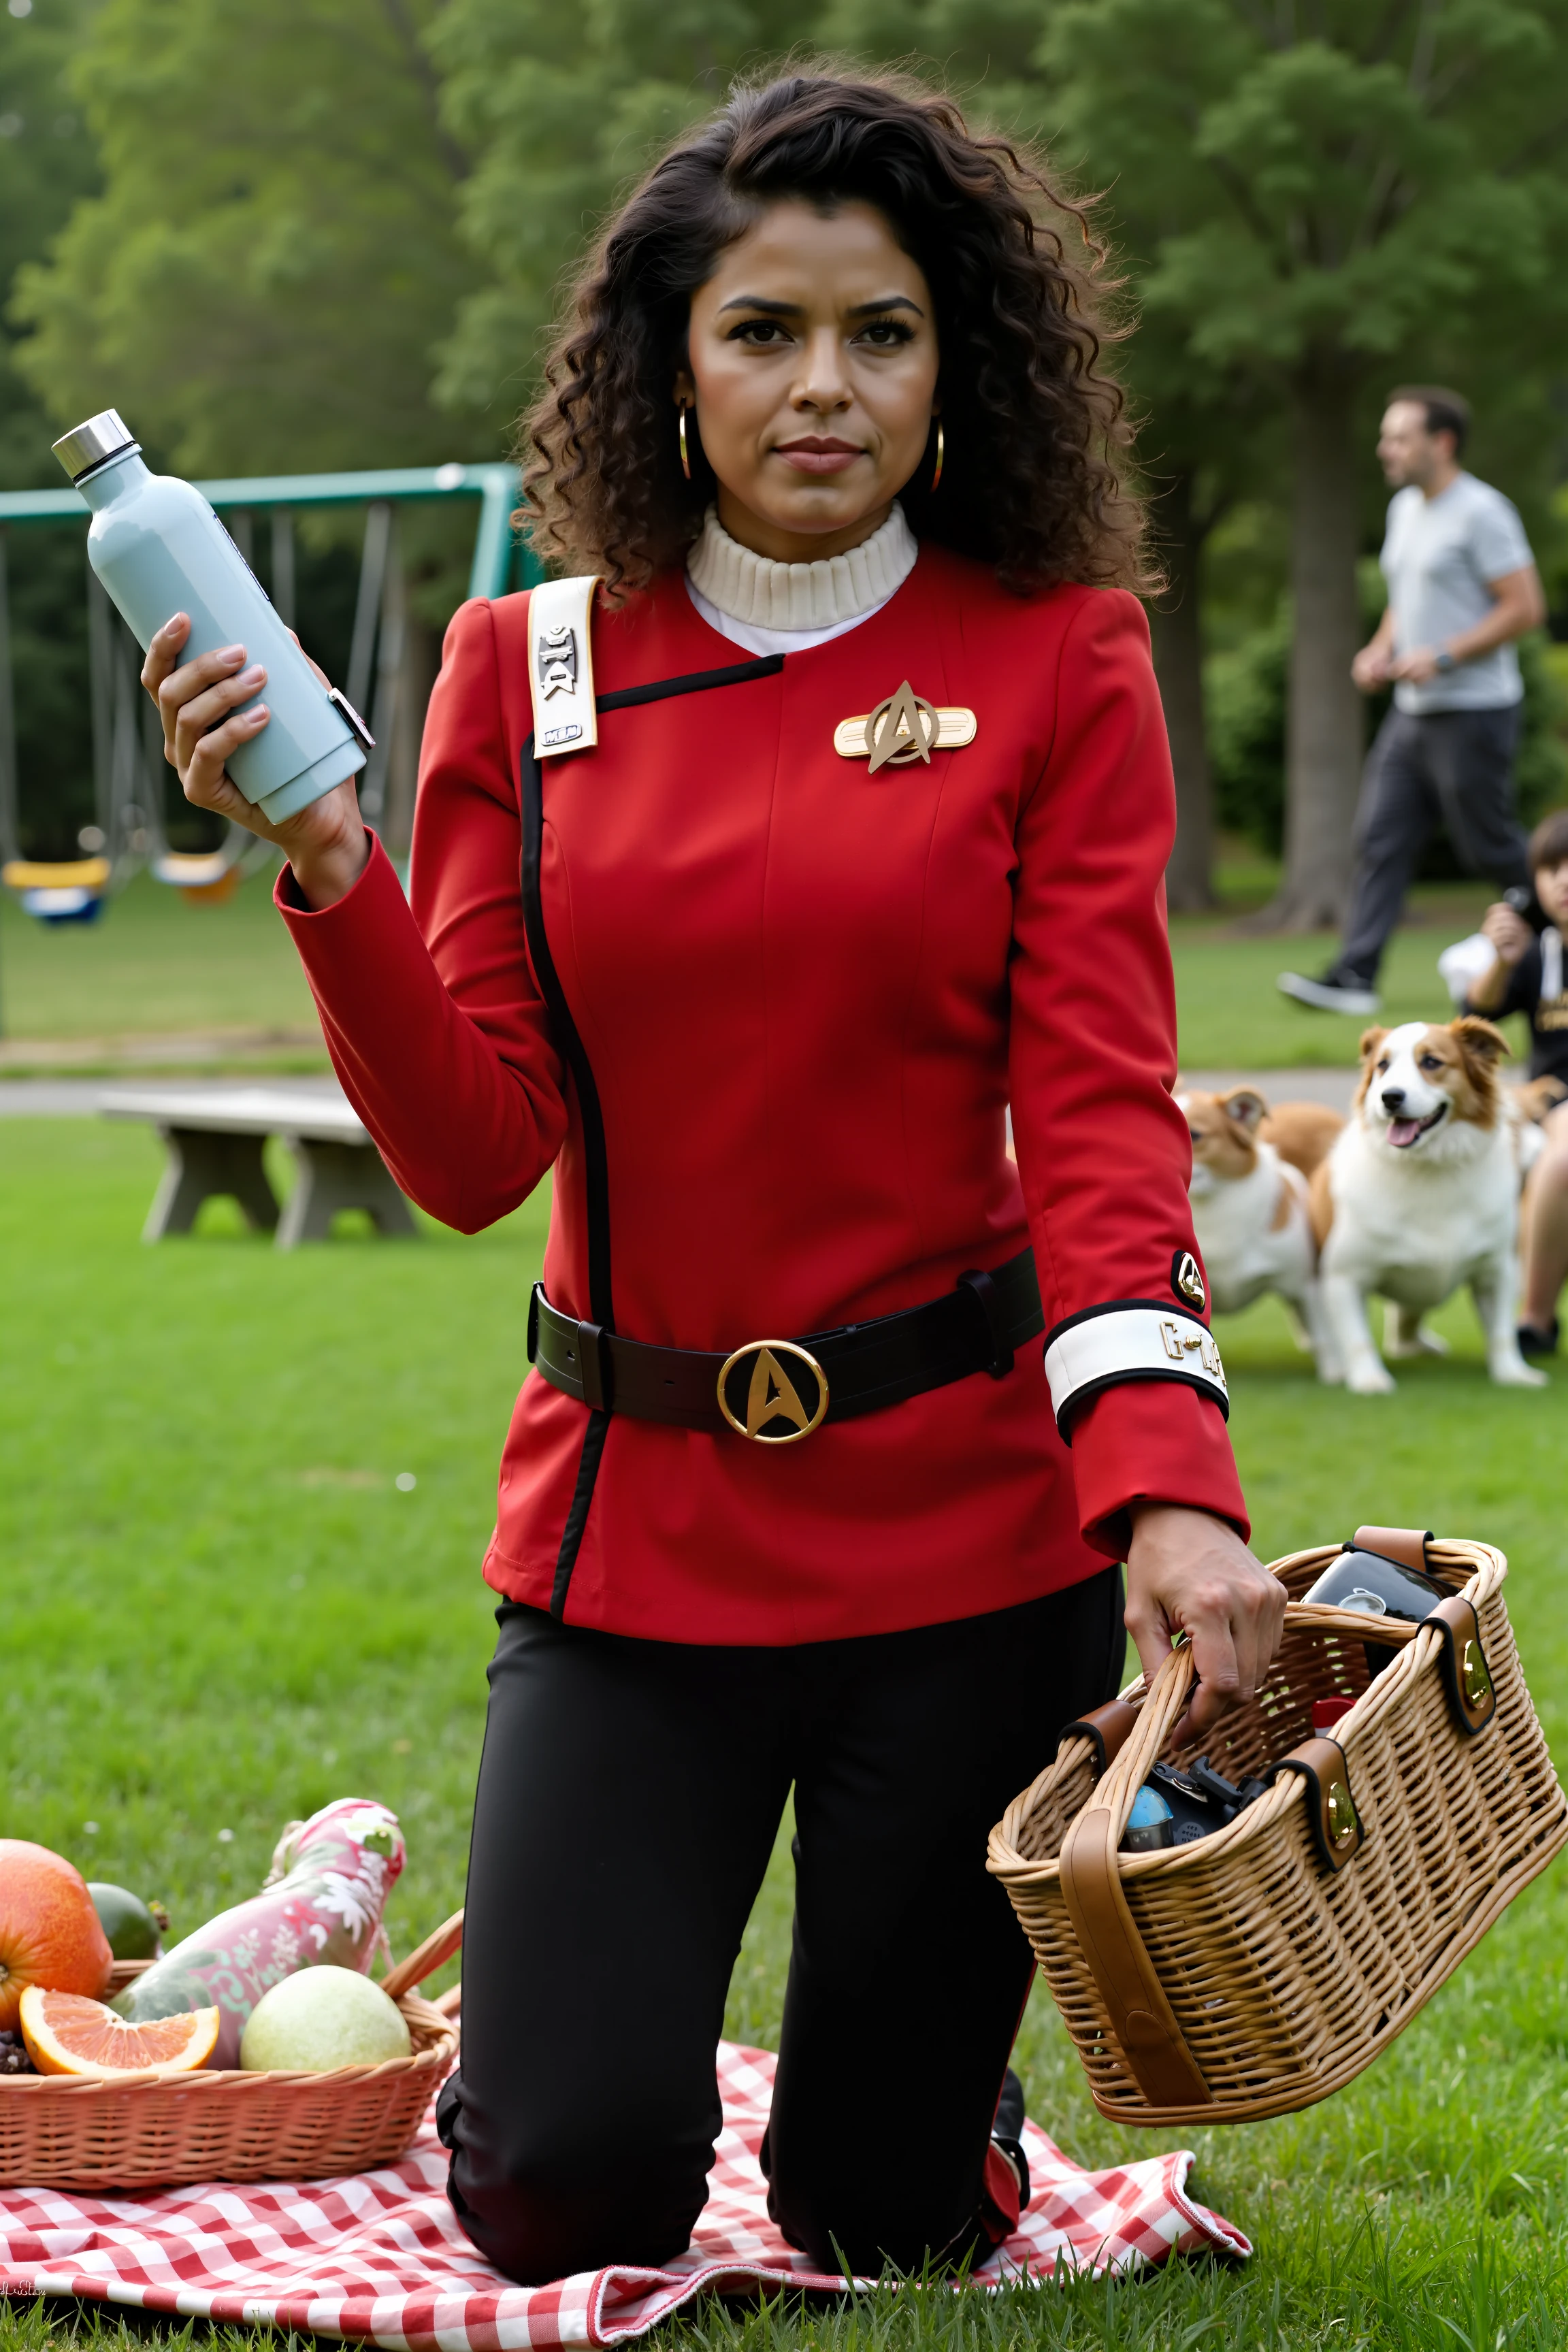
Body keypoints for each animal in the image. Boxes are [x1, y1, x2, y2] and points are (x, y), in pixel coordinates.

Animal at [1316, 1015, 1542, 1383]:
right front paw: (1369, 1379)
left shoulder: (1498, 1269)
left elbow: (1501, 1332)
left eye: (1432, 1062)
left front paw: (1512, 1374)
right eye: (1382, 1065)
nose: (1390, 1097)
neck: (1429, 1168)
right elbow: (1356, 1337)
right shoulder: (1344, 1275)